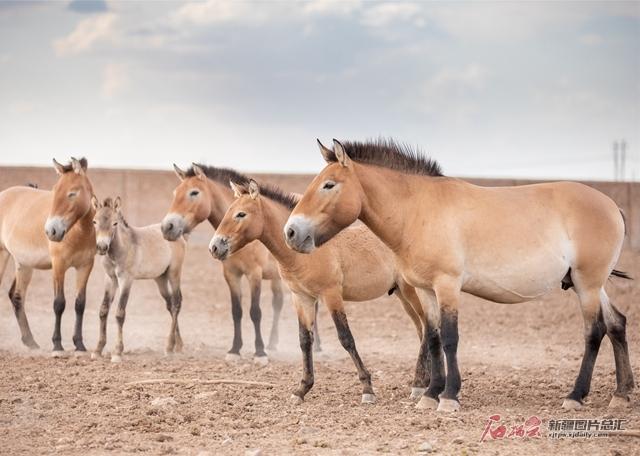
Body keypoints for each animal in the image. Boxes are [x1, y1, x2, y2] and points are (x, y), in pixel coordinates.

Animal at [0, 159, 96, 354]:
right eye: (54, 190)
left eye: (72, 193)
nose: (51, 231)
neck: (78, 232)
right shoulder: (58, 266)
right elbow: (59, 303)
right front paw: (57, 344)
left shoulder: (85, 266)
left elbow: (80, 304)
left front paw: (79, 344)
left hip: (23, 264)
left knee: (17, 297)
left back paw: (31, 342)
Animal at [90, 198, 185, 362]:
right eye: (94, 221)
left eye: (115, 223)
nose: (102, 247)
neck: (120, 249)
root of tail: (179, 235)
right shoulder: (110, 279)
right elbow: (103, 310)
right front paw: (97, 350)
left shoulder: (126, 280)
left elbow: (119, 313)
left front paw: (117, 352)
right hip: (160, 278)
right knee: (170, 305)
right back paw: (178, 346)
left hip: (174, 273)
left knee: (176, 304)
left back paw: (169, 347)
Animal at [161, 164, 288, 364]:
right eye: (175, 193)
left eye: (194, 192)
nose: (167, 227)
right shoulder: (231, 275)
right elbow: (236, 311)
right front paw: (235, 350)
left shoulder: (254, 274)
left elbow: (255, 312)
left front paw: (259, 353)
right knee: (279, 302)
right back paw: (273, 344)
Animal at [211, 180, 430, 404]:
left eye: (241, 214)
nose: (215, 246)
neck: (304, 254)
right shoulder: (302, 298)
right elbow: (305, 340)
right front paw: (302, 389)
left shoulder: (331, 295)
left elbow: (346, 338)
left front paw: (367, 388)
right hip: (402, 295)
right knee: (422, 330)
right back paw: (424, 383)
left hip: (412, 292)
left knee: (427, 329)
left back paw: (420, 385)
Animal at [286, 139, 636, 414]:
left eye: (329, 184)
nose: (291, 231)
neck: (419, 210)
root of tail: (612, 206)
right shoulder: (426, 290)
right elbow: (433, 337)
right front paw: (430, 394)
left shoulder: (447, 285)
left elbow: (450, 338)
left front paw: (450, 396)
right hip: (589, 284)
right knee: (616, 323)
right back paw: (621, 394)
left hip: (587, 285)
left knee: (594, 331)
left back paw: (576, 395)